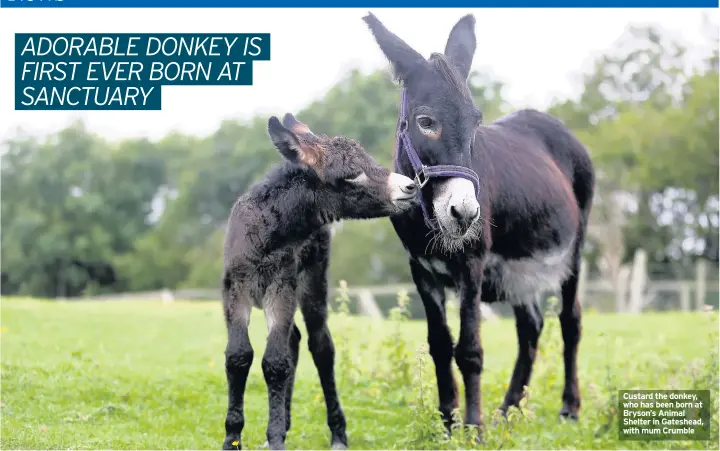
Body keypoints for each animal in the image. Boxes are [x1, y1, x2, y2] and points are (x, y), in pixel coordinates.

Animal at [219, 114, 416, 451]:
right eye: (351, 175)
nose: (410, 186)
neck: (268, 234)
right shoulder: (236, 291)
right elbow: (238, 357)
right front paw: (233, 438)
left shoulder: (281, 286)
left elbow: (275, 363)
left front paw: (275, 440)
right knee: (294, 341)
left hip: (311, 282)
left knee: (320, 346)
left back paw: (337, 434)